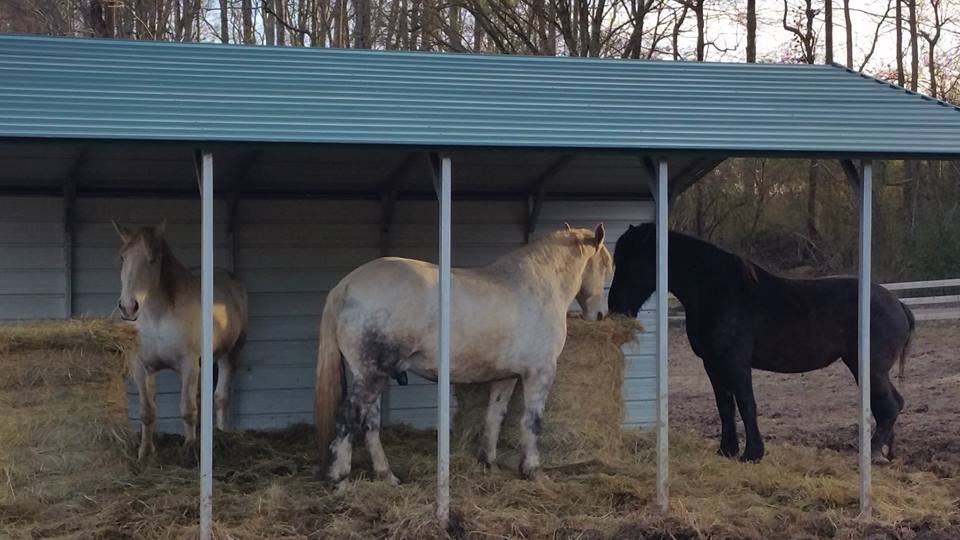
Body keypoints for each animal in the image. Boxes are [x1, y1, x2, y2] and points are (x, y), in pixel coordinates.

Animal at [113, 221, 248, 462]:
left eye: (153, 259)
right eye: (122, 257)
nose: (128, 307)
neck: (157, 316)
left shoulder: (188, 363)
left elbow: (187, 409)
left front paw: (189, 449)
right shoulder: (140, 365)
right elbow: (147, 410)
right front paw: (145, 454)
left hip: (230, 354)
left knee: (221, 397)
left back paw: (222, 434)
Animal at [315, 224, 611, 487]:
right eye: (606, 267)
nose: (599, 314)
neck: (535, 286)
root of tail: (347, 286)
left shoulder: (506, 377)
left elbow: (495, 416)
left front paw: (488, 464)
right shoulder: (540, 373)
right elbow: (532, 421)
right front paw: (534, 472)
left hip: (372, 375)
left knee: (369, 423)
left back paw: (386, 475)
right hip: (371, 375)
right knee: (349, 418)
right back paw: (340, 479)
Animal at [607, 223, 915, 463]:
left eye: (631, 262)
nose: (615, 307)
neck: (717, 291)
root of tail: (898, 304)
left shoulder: (736, 363)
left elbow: (746, 403)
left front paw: (752, 453)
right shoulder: (713, 364)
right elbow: (725, 406)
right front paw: (726, 450)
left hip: (869, 368)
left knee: (889, 407)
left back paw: (871, 453)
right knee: (891, 404)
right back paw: (885, 453)